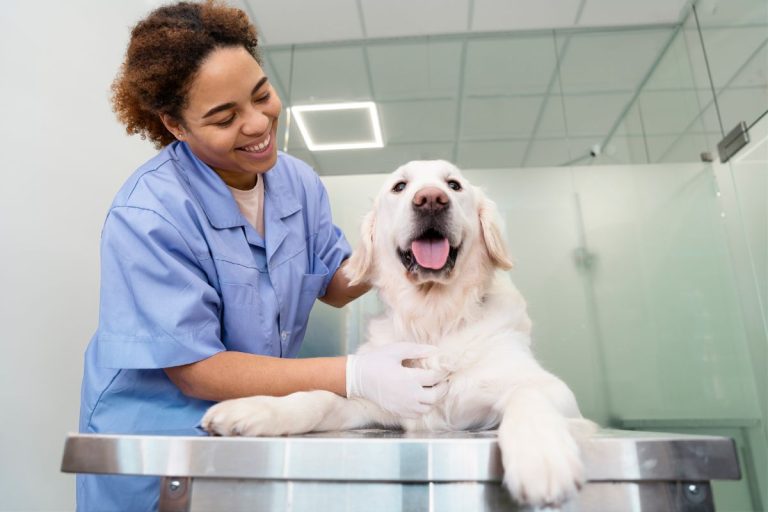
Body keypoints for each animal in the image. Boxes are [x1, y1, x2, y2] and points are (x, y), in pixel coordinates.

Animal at [202, 162, 592, 506]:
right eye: (400, 187)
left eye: (454, 185)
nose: (431, 199)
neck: (433, 318)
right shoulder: (377, 402)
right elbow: (320, 397)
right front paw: (256, 408)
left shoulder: (551, 390)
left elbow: (528, 393)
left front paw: (541, 455)